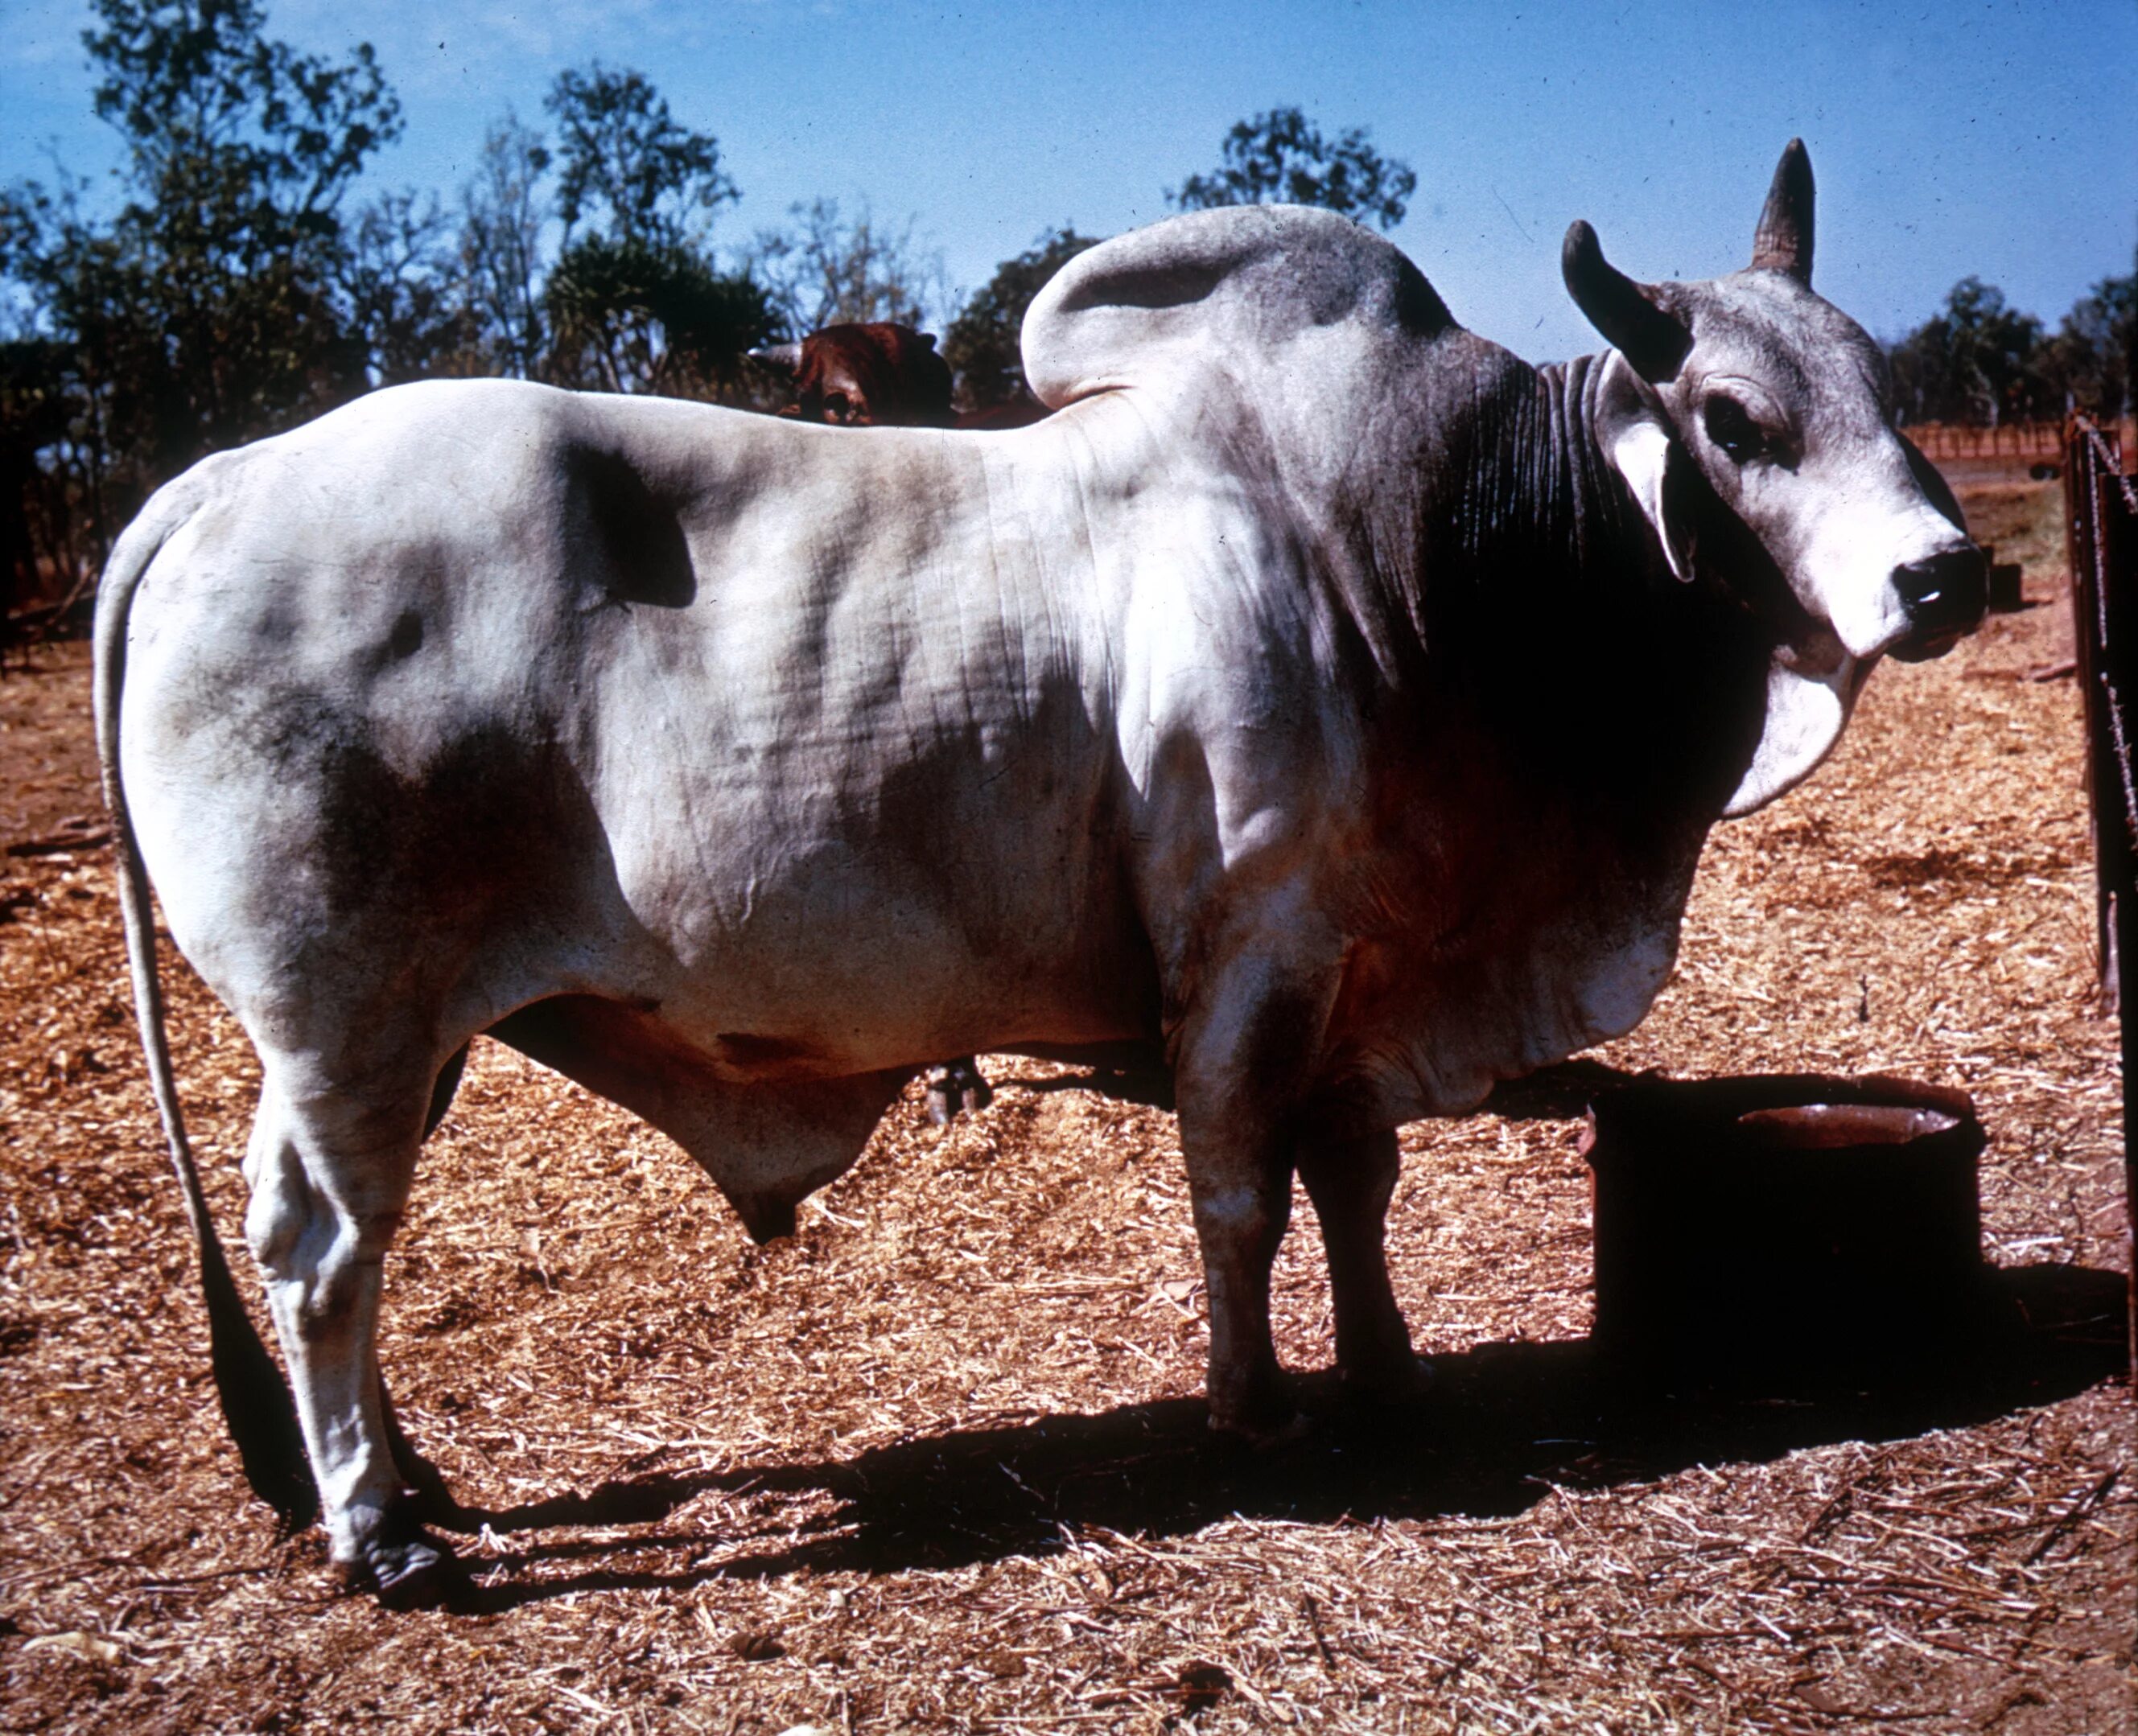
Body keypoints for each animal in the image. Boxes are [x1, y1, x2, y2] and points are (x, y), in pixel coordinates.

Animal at [96, 150, 1967, 1598]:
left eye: (1883, 390)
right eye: (1733, 418)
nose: (1943, 574)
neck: (1417, 558)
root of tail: (218, 482)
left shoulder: (1355, 968)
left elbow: (1353, 1180)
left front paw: (1384, 1373)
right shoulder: (1250, 944)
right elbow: (1241, 1189)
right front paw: (1253, 1406)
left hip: (406, 1029)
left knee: (338, 1244)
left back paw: (404, 1482)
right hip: (346, 1015)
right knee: (317, 1245)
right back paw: (382, 1535)